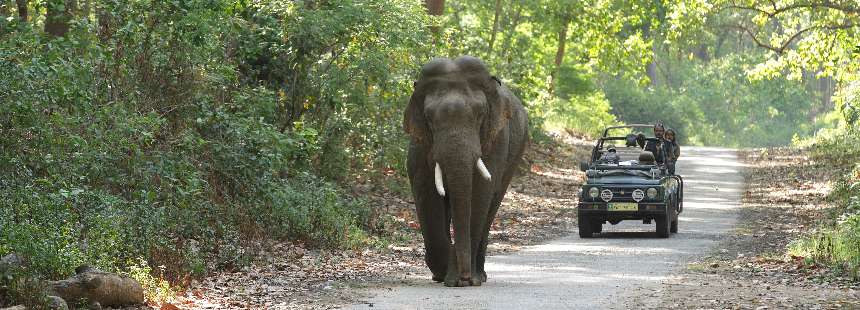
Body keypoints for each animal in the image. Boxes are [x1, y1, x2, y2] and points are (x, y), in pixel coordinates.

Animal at [404, 55, 532, 286]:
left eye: (481, 114)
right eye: (429, 117)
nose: (464, 277)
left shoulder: (496, 139)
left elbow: (480, 191)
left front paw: (462, 280)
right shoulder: (419, 142)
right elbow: (426, 191)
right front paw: (445, 273)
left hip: (516, 154)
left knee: (492, 206)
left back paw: (479, 275)